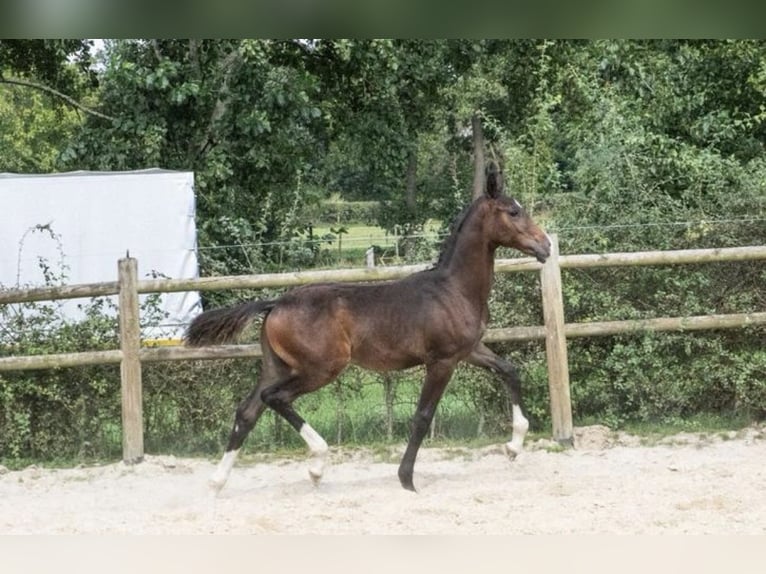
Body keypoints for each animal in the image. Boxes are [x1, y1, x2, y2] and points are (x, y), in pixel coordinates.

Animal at [184, 163, 552, 496]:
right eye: (513, 211)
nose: (546, 245)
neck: (453, 290)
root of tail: (276, 304)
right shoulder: (442, 361)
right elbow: (422, 416)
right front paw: (406, 480)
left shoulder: (470, 350)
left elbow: (509, 371)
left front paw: (513, 446)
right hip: (321, 368)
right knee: (274, 398)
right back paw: (317, 464)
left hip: (277, 366)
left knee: (247, 412)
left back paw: (217, 483)